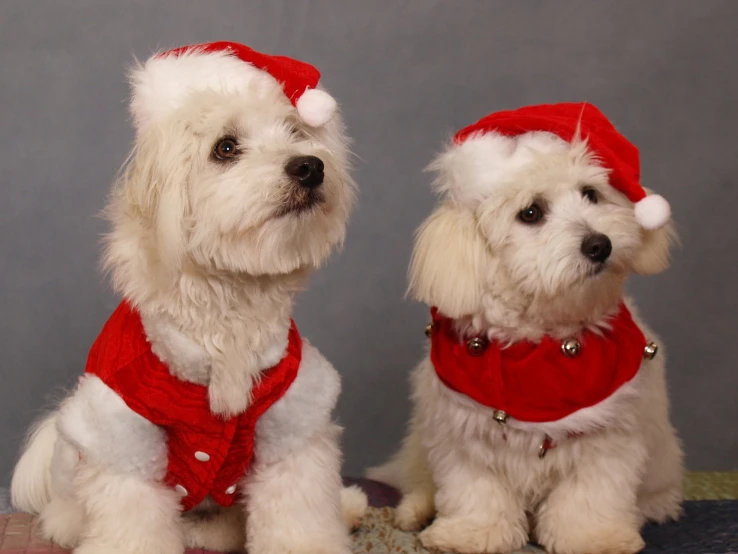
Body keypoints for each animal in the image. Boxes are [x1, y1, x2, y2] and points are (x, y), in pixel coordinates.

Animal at [10, 42, 366, 552]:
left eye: (296, 133)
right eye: (226, 147)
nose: (310, 167)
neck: (228, 308)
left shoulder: (292, 422)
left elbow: (299, 514)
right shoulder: (125, 433)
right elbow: (133, 524)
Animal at [370, 102, 680, 552]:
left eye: (591, 194)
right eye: (531, 213)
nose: (599, 244)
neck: (539, 344)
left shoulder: (608, 441)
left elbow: (589, 496)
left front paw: (593, 537)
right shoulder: (464, 439)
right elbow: (475, 491)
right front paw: (472, 533)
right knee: (421, 480)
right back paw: (417, 509)